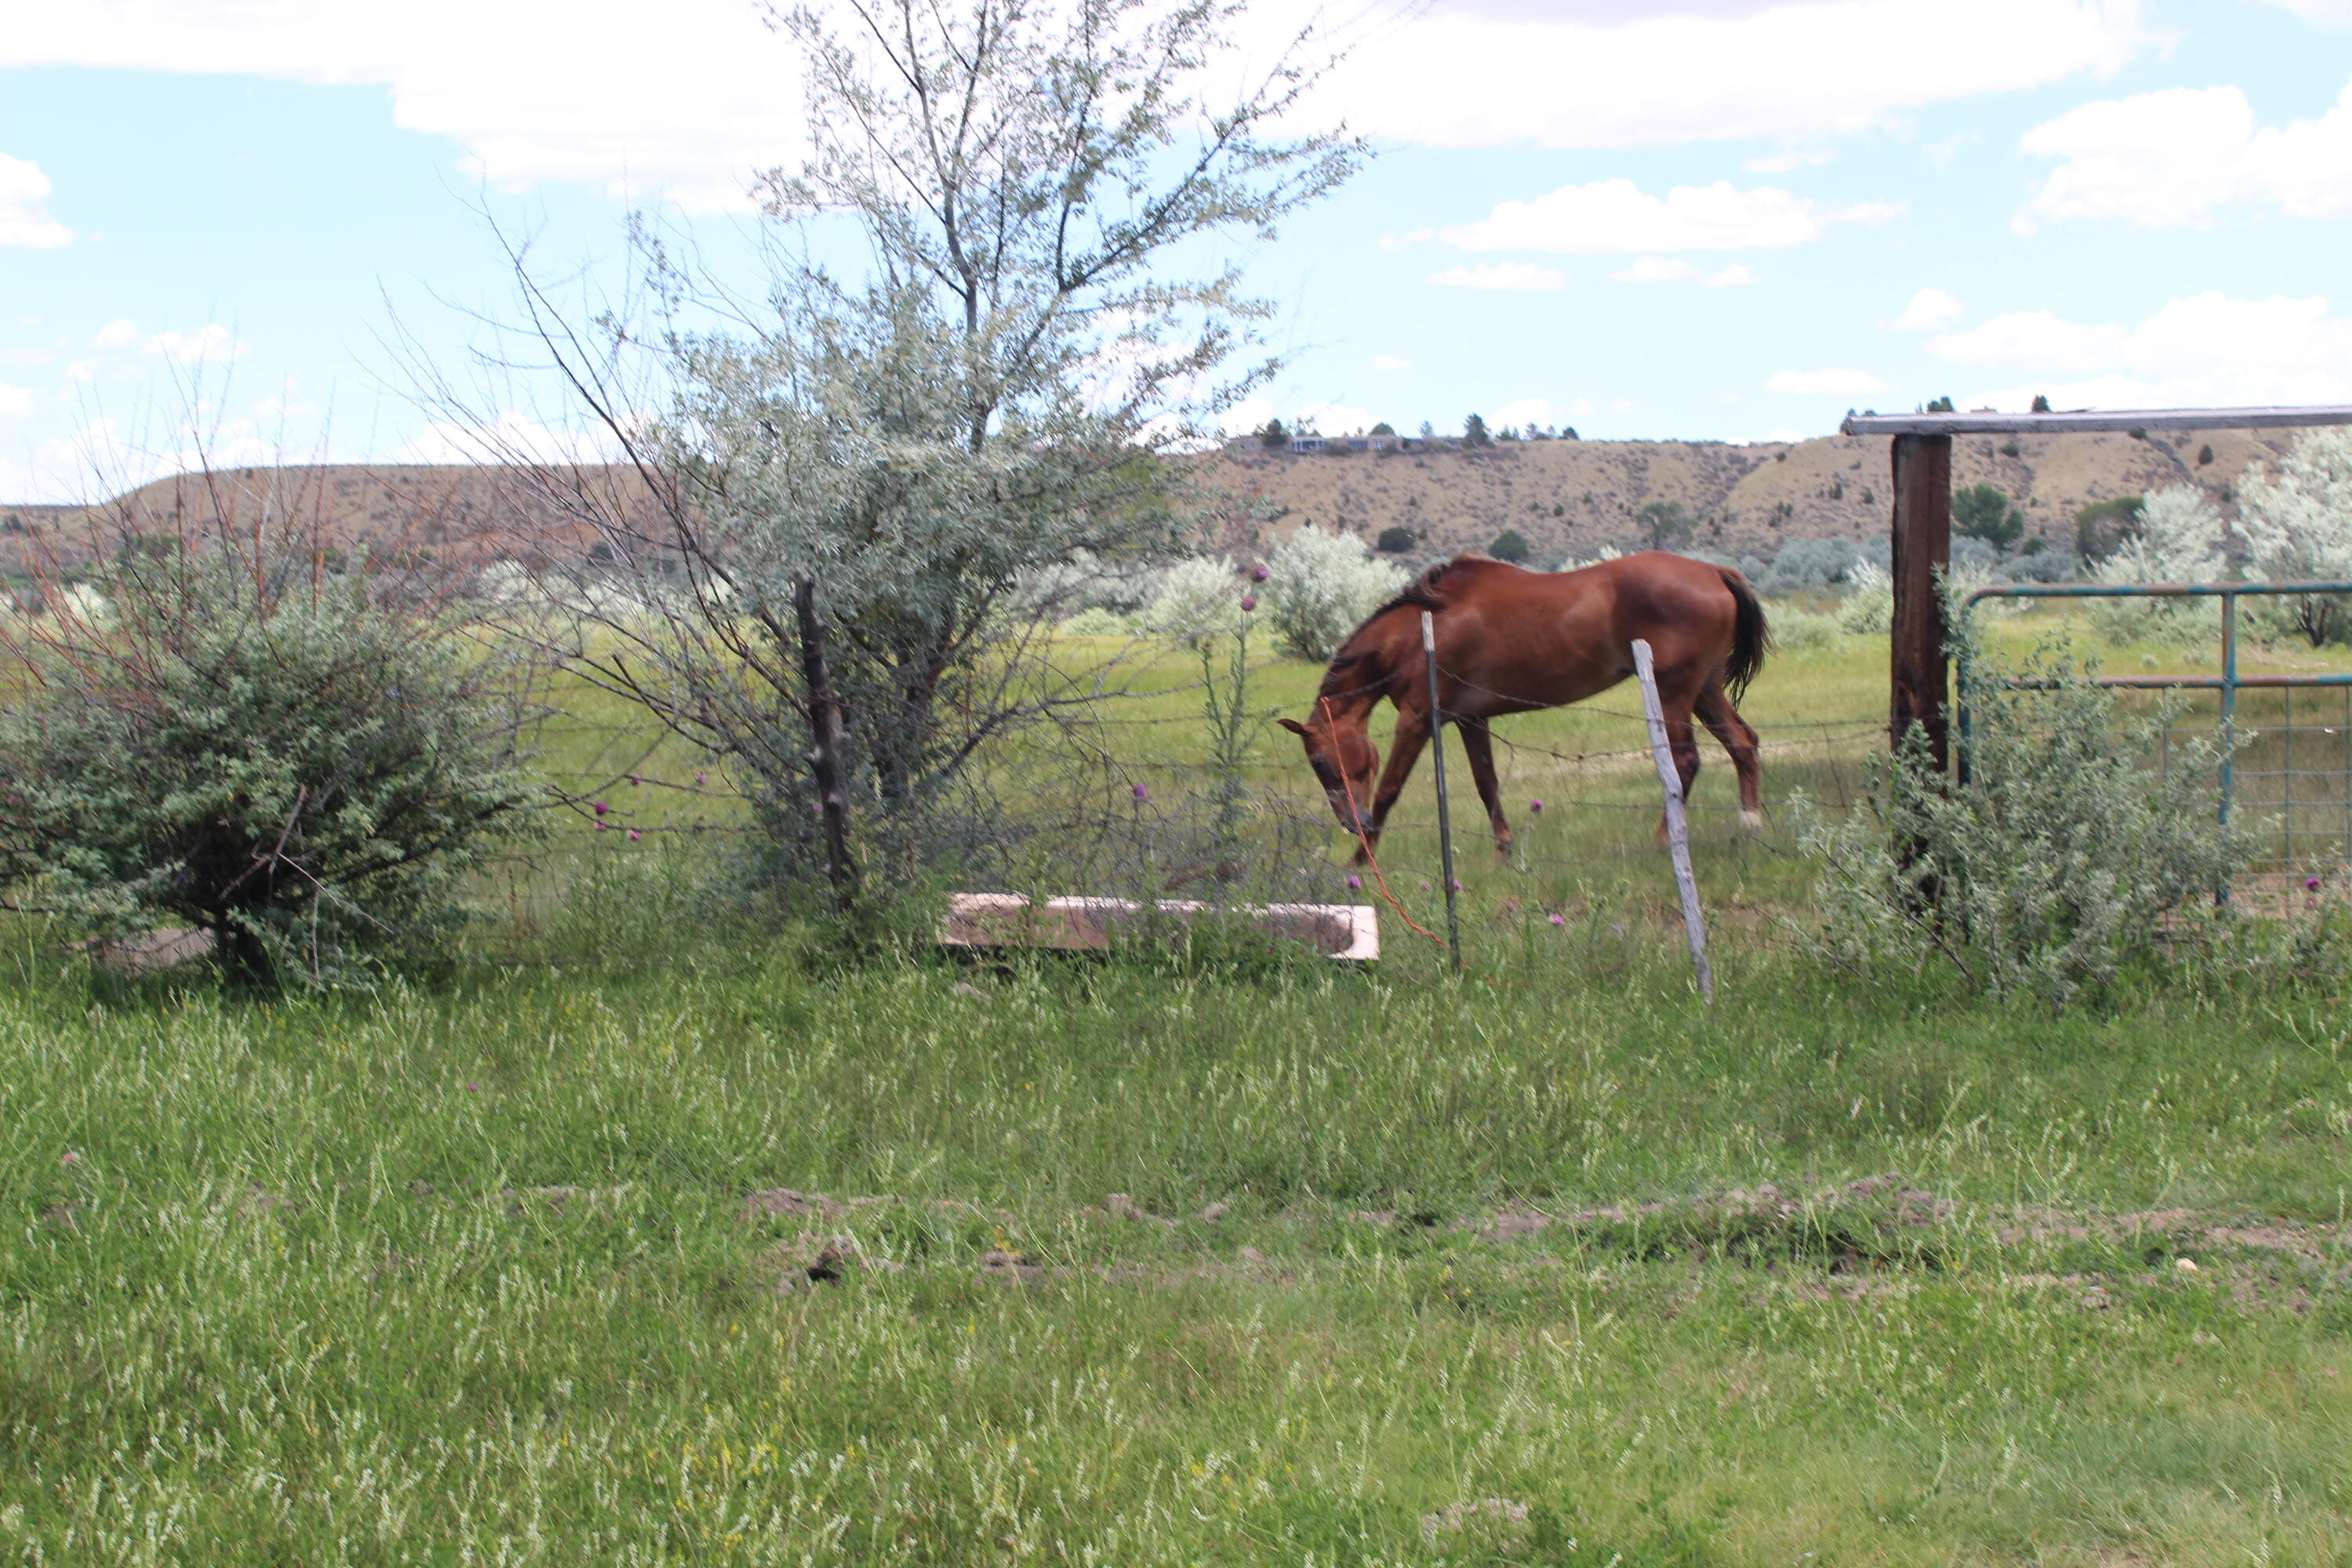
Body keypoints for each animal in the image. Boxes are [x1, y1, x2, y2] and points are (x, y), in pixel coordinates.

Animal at [1289, 552, 1769, 865]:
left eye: (1319, 762)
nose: (1350, 822)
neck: (1417, 631)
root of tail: (1715, 572)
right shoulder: (1470, 719)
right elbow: (1487, 785)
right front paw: (1503, 851)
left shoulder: (1418, 720)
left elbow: (1389, 790)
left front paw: (1359, 863)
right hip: (1704, 691)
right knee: (1743, 743)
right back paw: (1749, 826)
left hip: (1674, 694)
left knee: (1685, 762)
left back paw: (1664, 841)